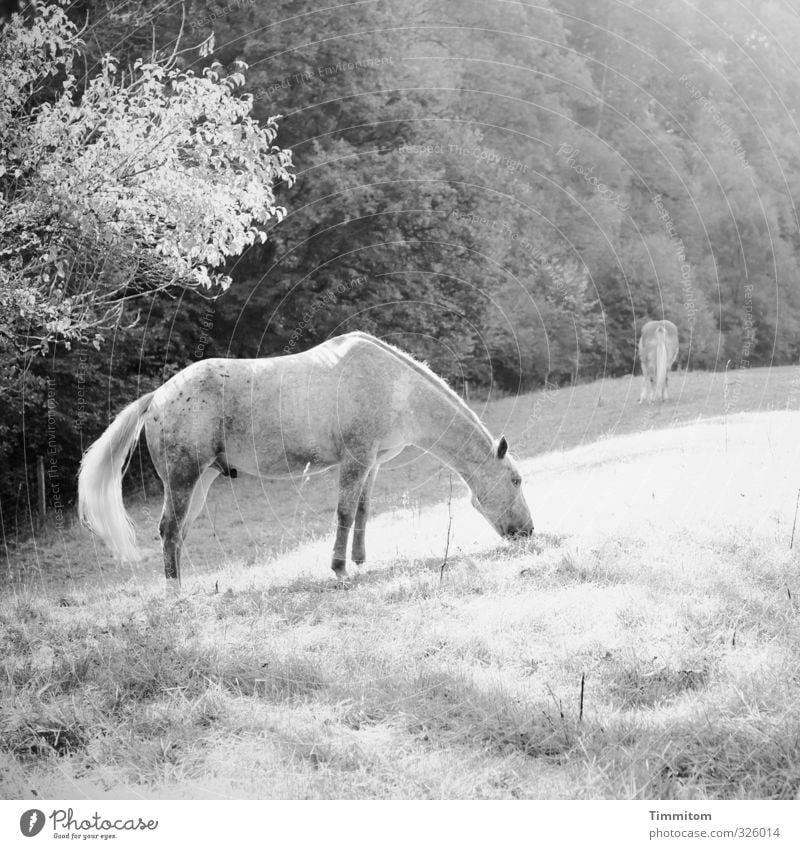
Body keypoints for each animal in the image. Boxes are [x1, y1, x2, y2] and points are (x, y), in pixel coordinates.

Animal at [78, 330, 536, 584]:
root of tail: (158, 395)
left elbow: (363, 511)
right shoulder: (355, 461)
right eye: (516, 480)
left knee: (178, 533)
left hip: (201, 481)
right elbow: (345, 513)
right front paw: (339, 569)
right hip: (183, 478)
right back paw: (175, 593)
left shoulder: (369, 464)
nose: (528, 532)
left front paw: (360, 561)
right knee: (170, 529)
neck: (394, 387)